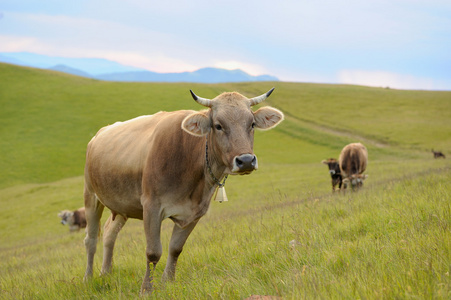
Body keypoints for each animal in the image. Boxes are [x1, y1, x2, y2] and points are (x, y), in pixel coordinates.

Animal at [83, 88, 284, 294]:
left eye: (252, 124)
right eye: (218, 125)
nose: (246, 161)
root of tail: (100, 132)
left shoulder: (195, 212)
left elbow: (175, 249)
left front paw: (168, 283)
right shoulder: (151, 206)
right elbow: (153, 252)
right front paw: (146, 289)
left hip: (122, 205)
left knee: (109, 232)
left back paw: (105, 273)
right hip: (91, 194)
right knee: (91, 239)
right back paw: (88, 278)